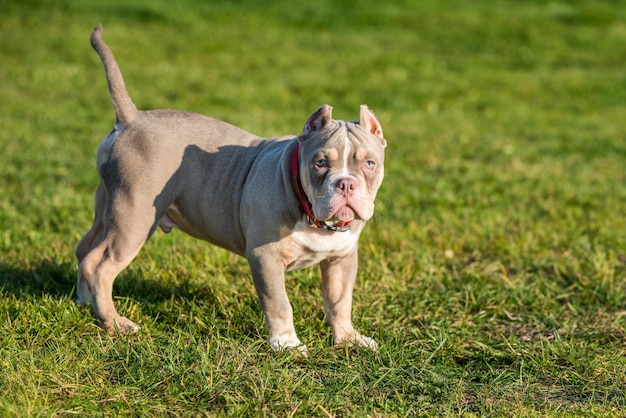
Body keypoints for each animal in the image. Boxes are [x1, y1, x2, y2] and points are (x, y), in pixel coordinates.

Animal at [75, 25, 382, 352]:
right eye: (320, 162)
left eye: (370, 164)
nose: (346, 183)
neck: (312, 213)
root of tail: (131, 118)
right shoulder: (265, 257)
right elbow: (279, 303)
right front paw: (287, 345)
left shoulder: (342, 259)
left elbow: (340, 301)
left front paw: (348, 338)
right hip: (134, 216)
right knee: (100, 266)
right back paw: (114, 322)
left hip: (109, 205)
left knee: (85, 248)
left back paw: (85, 303)